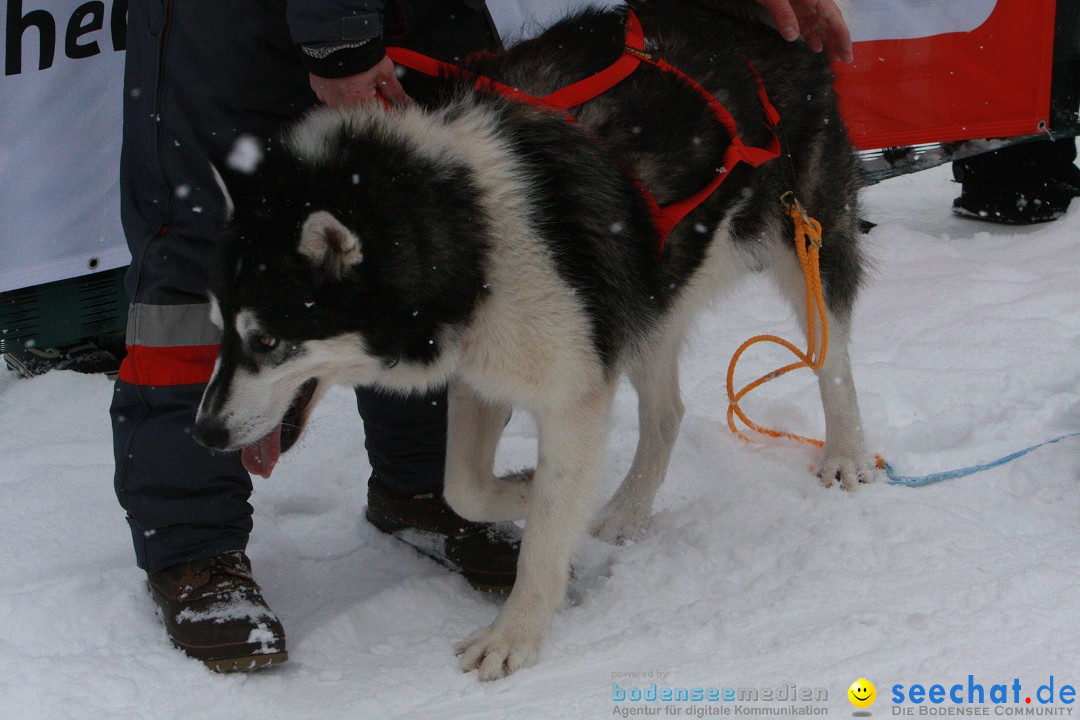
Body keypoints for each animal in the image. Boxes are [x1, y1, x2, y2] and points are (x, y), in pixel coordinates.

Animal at [192, 0, 868, 677]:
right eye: (221, 330)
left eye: (268, 341)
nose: (205, 434)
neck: (467, 227)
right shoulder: (485, 371)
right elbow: (463, 488)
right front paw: (522, 488)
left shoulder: (571, 391)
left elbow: (542, 536)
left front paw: (513, 635)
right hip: (645, 296)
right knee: (667, 411)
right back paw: (627, 508)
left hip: (801, 238)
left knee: (832, 360)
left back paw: (846, 455)